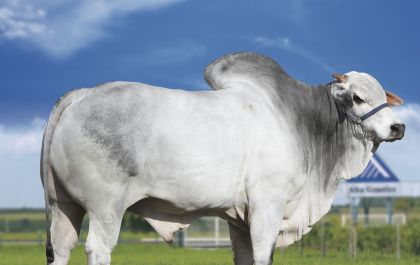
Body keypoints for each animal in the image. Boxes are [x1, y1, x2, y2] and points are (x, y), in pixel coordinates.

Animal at [41, 52, 406, 262]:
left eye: (381, 95)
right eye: (357, 97)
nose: (398, 127)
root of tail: (80, 94)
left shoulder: (240, 219)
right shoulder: (267, 208)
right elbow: (262, 256)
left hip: (62, 205)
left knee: (61, 247)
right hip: (105, 207)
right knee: (98, 248)